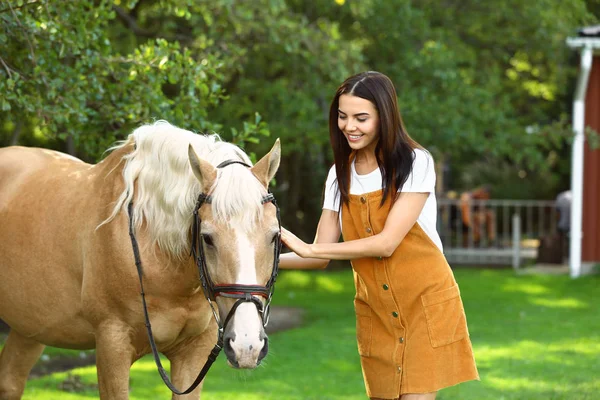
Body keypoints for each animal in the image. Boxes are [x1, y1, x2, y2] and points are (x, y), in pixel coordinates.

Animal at [0, 120, 282, 398]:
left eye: (274, 236)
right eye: (207, 238)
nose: (247, 345)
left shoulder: (194, 351)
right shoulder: (112, 344)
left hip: (30, 327)